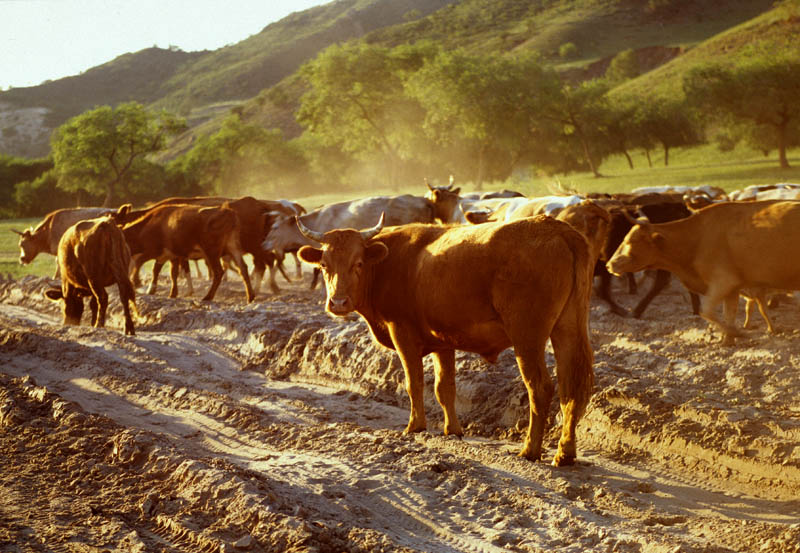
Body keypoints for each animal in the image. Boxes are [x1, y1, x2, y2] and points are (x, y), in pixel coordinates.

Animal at [115, 203, 252, 302]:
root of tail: (228, 212)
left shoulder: (153, 251)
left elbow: (141, 264)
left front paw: (139, 284)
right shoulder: (171, 255)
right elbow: (167, 272)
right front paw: (169, 292)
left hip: (212, 251)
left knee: (219, 272)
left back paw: (208, 297)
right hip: (233, 246)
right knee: (243, 268)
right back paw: (250, 296)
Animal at [294, 213, 592, 464]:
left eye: (358, 264)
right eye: (324, 265)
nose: (338, 302)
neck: (389, 263)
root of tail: (557, 228)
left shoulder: (401, 333)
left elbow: (414, 383)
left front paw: (415, 426)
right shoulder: (443, 342)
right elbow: (444, 387)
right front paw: (453, 429)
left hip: (527, 336)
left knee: (540, 387)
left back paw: (530, 450)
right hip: (569, 329)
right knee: (571, 388)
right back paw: (565, 453)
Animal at [608, 201, 800, 342]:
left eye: (631, 241)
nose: (609, 265)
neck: (698, 238)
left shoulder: (724, 282)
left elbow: (706, 311)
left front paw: (735, 333)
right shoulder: (734, 288)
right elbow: (728, 313)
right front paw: (728, 339)